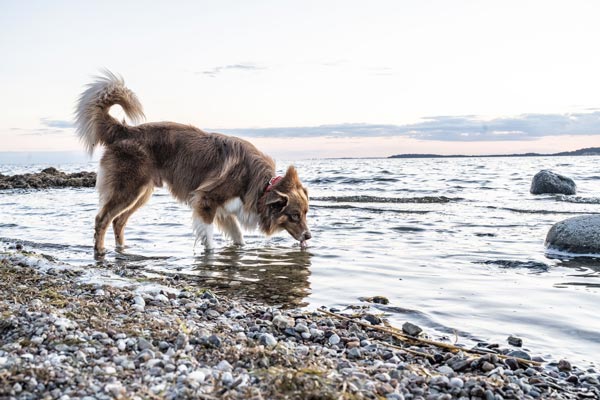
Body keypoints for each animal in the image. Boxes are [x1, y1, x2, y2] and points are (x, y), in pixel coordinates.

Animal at [75, 70, 312, 256]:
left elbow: (238, 237)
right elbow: (209, 238)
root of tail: (124, 130)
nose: (309, 236)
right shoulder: (205, 200)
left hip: (142, 193)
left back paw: (122, 249)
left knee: (119, 221)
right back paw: (100, 250)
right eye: (294, 215)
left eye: (306, 213)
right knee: (102, 219)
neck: (262, 186)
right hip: (128, 189)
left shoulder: (225, 211)